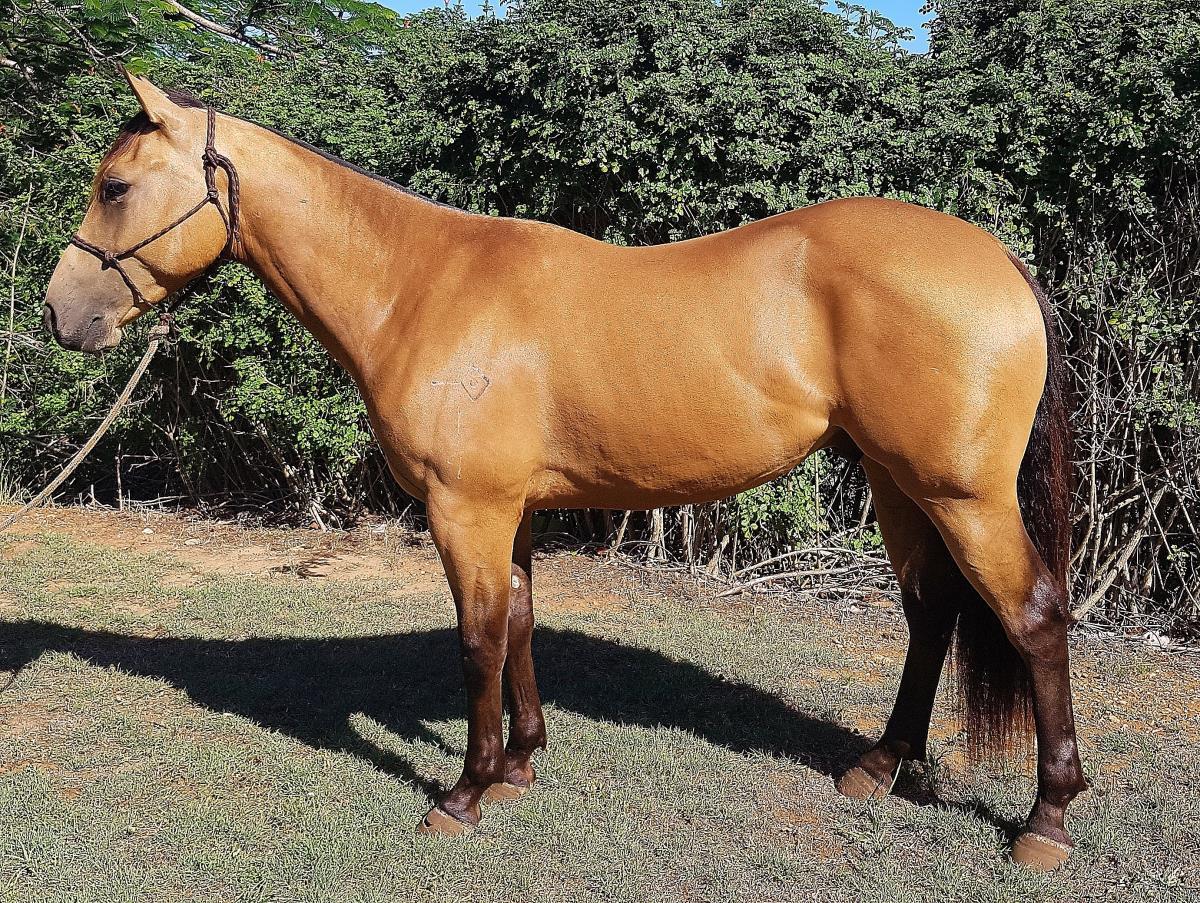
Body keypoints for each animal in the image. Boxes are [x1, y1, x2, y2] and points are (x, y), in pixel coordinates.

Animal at [43, 72, 1087, 871]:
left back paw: (1046, 818)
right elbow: (519, 624)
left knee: (1033, 615)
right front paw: (519, 769)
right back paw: (881, 765)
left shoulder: (465, 508)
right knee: (932, 614)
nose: (60, 314)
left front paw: (462, 793)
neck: (420, 285)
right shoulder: (512, 510)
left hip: (962, 495)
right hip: (897, 483)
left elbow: (476, 642)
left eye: (117, 185)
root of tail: (998, 258)